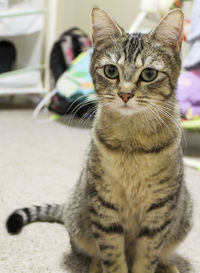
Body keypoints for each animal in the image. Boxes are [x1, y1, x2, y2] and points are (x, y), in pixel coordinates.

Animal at [7, 7, 193, 270]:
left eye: (148, 74)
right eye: (111, 71)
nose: (125, 94)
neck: (132, 143)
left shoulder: (159, 210)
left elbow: (147, 258)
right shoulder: (104, 203)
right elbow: (112, 256)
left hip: (183, 217)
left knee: (164, 254)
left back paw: (169, 266)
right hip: (79, 221)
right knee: (91, 252)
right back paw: (95, 267)